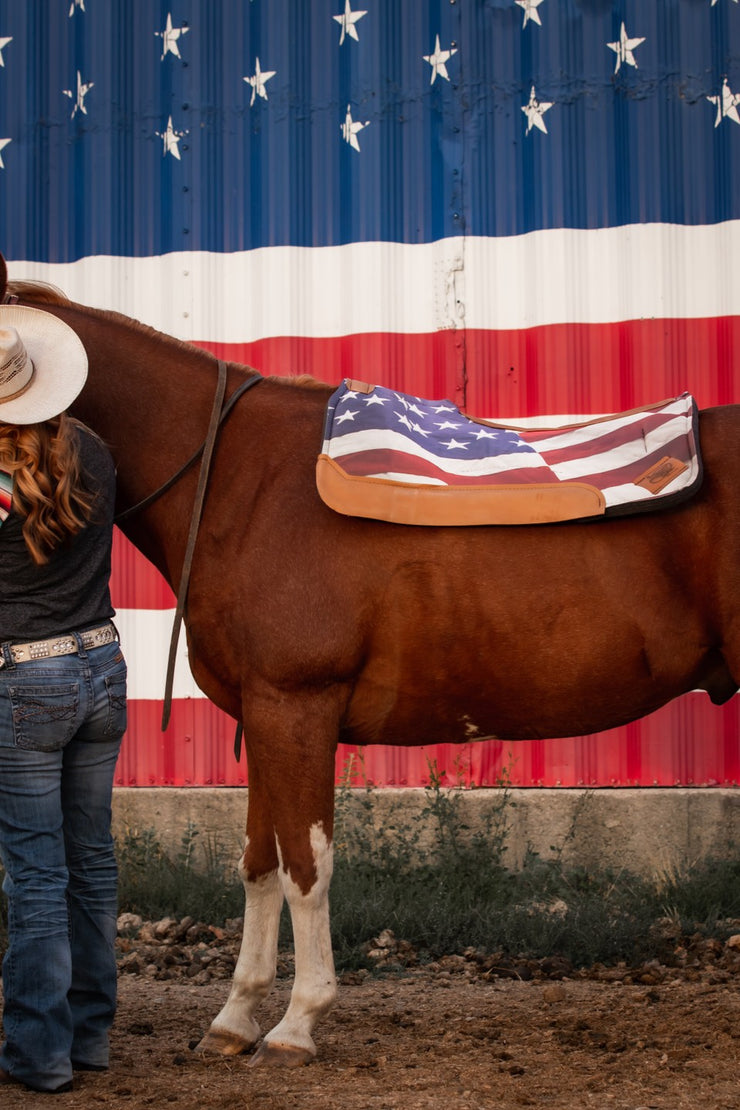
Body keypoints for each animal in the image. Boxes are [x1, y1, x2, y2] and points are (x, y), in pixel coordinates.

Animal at [1, 254, 740, 1065]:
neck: (237, 481)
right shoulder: (263, 716)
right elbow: (259, 863)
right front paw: (235, 1018)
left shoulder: (298, 707)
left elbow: (305, 865)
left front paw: (297, 1023)